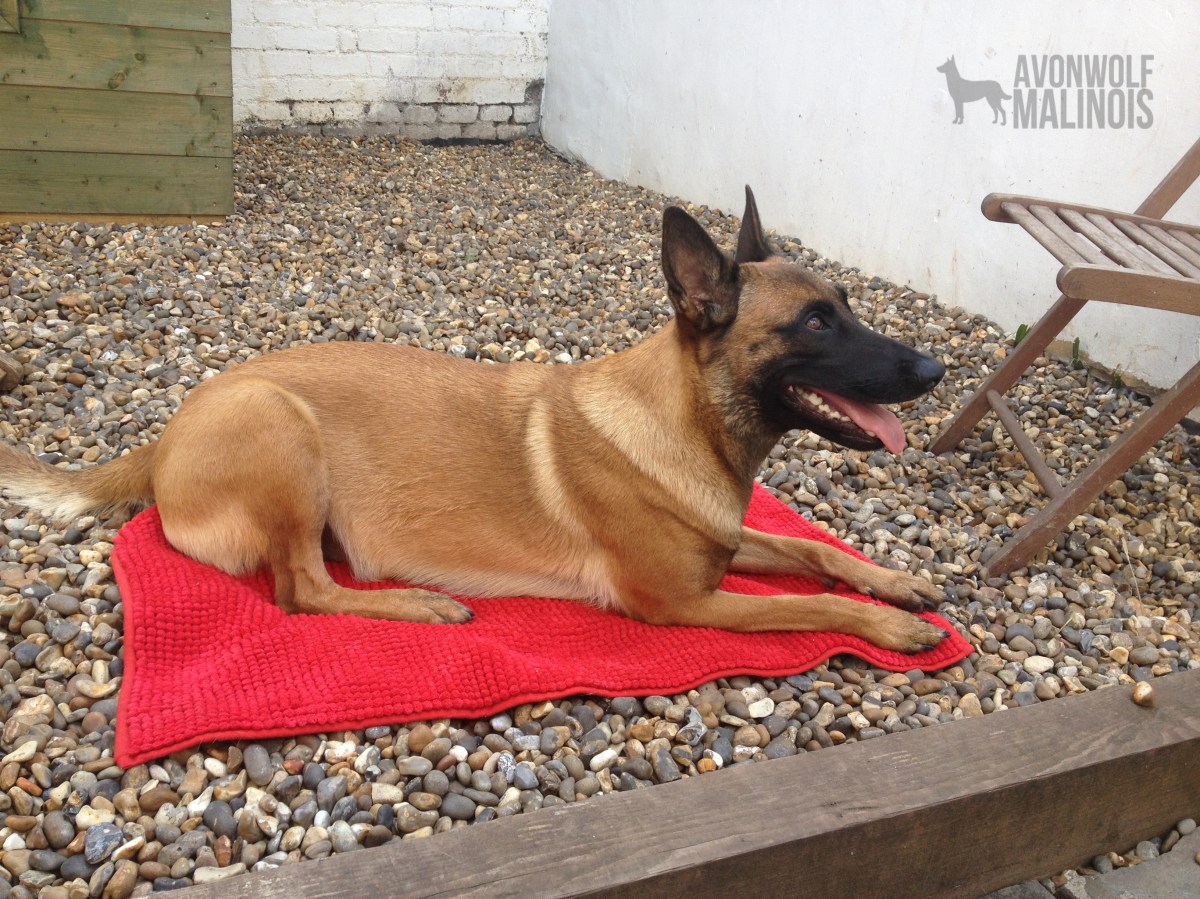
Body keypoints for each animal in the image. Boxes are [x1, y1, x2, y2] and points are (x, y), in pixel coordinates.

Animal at [0, 188, 949, 652]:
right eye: (815, 324)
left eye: (847, 306)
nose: (936, 370)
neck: (682, 415)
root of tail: (166, 430)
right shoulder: (683, 602)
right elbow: (807, 602)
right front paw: (890, 624)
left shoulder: (724, 542)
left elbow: (813, 551)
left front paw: (893, 582)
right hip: (282, 432)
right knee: (302, 591)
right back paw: (422, 605)